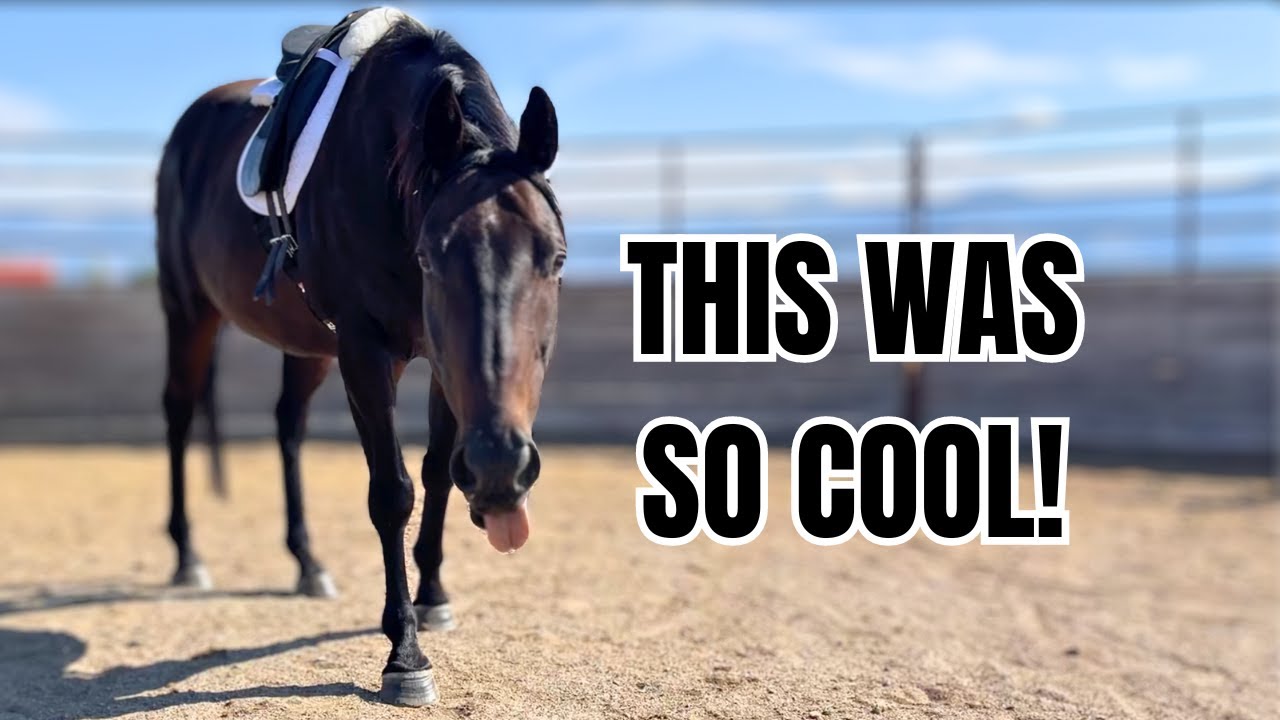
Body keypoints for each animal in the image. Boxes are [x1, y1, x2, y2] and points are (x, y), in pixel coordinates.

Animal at [155, 18, 564, 706]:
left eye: (556, 258)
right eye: (430, 257)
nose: (501, 467)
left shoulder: (440, 363)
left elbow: (436, 474)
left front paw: (434, 597)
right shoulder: (366, 352)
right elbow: (392, 492)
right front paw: (405, 655)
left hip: (306, 347)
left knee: (287, 426)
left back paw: (307, 564)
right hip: (190, 313)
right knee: (180, 415)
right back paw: (187, 558)